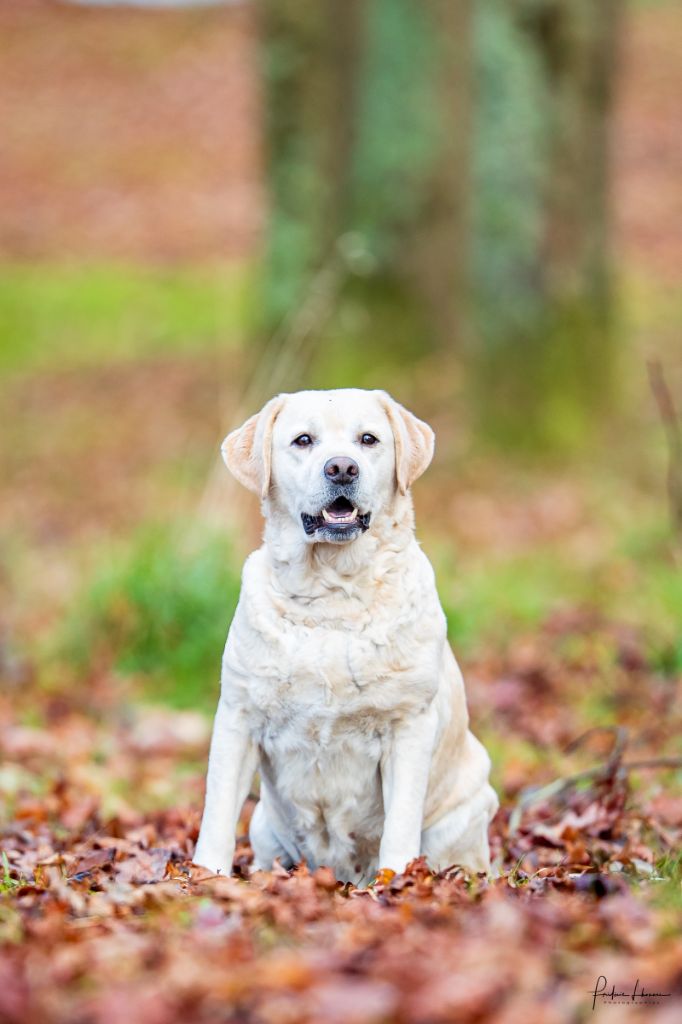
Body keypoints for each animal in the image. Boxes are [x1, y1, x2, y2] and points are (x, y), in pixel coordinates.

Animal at [193, 387, 497, 884]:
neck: (332, 594)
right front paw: (205, 877)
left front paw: (396, 882)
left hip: (463, 815)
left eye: (368, 439)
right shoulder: (238, 716)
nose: (341, 468)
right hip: (263, 826)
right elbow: (217, 812)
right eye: (303, 440)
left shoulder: (409, 725)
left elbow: (401, 823)